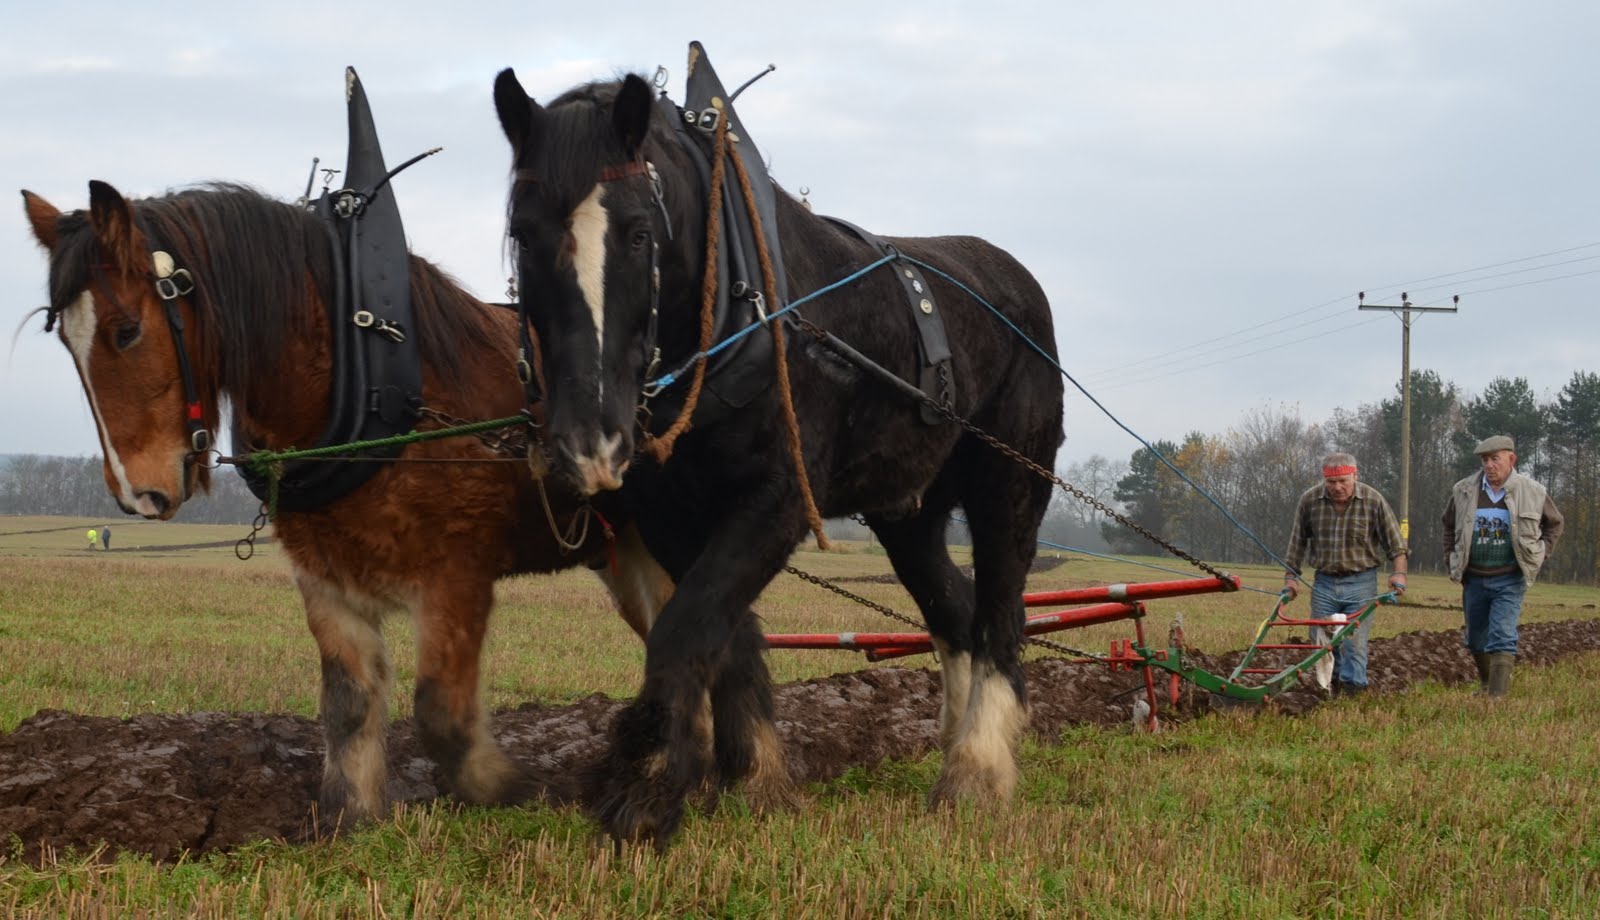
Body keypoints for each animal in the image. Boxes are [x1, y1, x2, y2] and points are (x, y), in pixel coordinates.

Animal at [20, 180, 676, 829]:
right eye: (68, 341)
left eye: (126, 330)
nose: (137, 494)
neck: (373, 389)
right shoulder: (325, 577)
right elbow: (348, 704)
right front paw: (349, 817)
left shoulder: (457, 574)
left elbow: (441, 712)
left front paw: (519, 788)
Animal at [492, 70, 1066, 846]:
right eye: (522, 234)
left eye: (639, 232)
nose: (587, 441)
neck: (737, 312)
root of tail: (1018, 282)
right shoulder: (671, 513)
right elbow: (721, 633)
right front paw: (757, 780)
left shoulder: (779, 500)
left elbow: (686, 625)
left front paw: (646, 785)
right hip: (909, 513)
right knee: (955, 609)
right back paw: (957, 744)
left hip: (1013, 482)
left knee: (1002, 609)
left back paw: (977, 770)